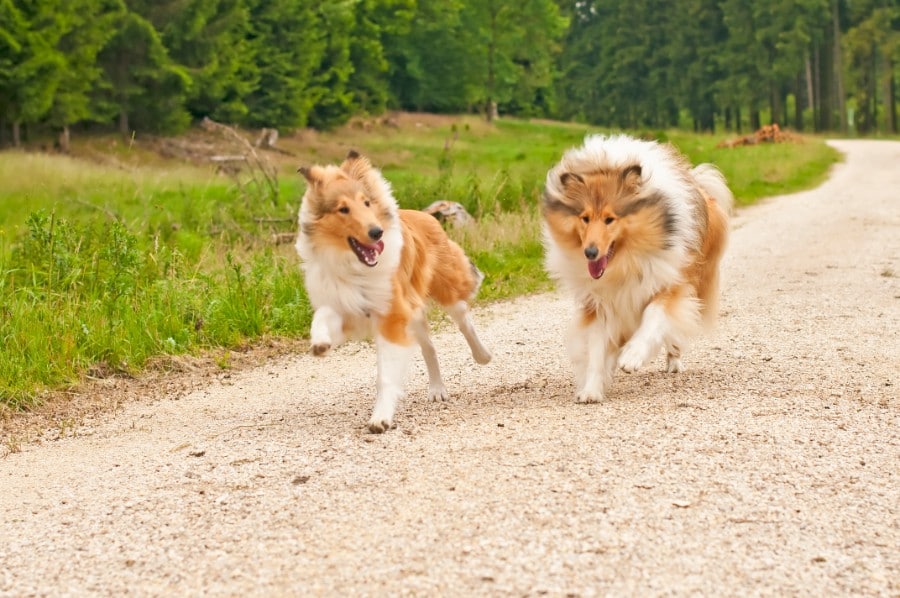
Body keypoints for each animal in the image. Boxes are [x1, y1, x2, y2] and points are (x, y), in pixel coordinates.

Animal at [298, 150, 492, 432]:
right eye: (343, 209)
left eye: (367, 203)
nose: (376, 232)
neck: (356, 267)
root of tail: (427, 215)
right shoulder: (347, 307)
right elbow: (322, 314)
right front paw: (320, 343)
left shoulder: (391, 315)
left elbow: (386, 376)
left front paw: (380, 418)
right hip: (414, 312)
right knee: (429, 348)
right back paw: (437, 389)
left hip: (446, 291)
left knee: (465, 322)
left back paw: (483, 355)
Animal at [540, 136, 732, 406]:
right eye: (584, 218)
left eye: (610, 219)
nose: (590, 252)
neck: (624, 262)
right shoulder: (599, 302)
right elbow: (597, 348)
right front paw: (591, 390)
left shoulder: (669, 282)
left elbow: (653, 317)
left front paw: (632, 357)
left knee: (673, 331)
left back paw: (673, 362)